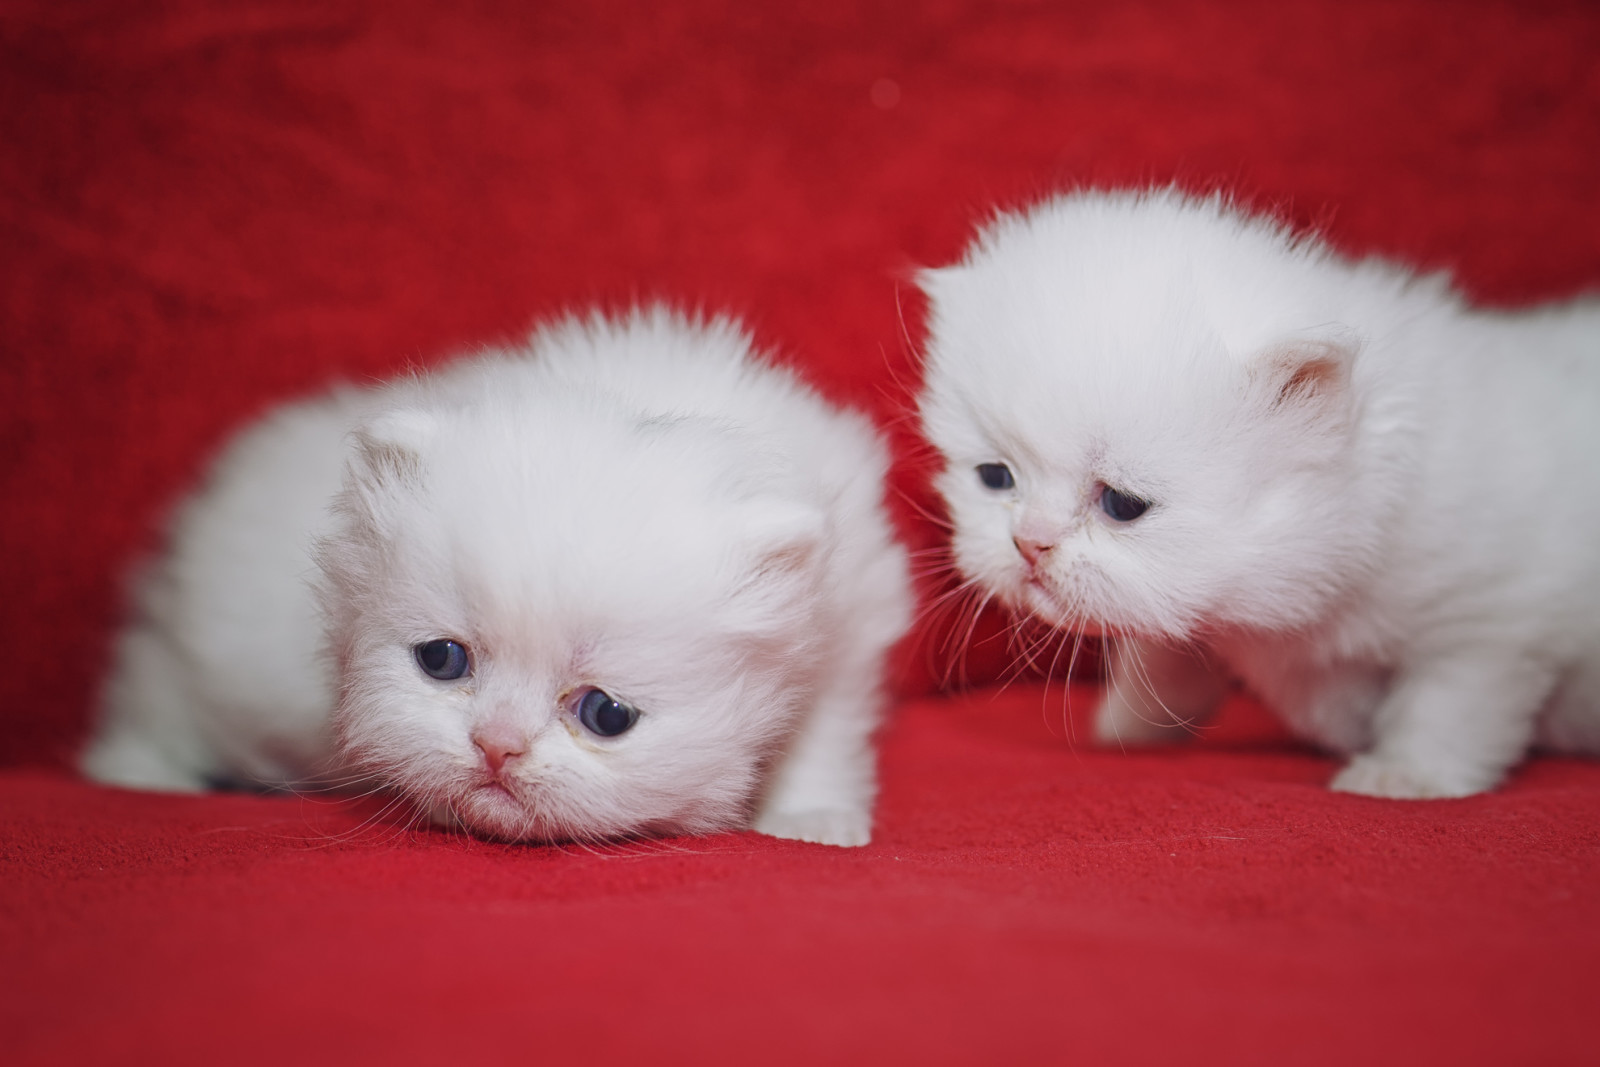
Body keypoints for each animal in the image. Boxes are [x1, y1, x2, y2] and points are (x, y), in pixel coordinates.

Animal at [84, 303, 915, 844]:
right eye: (442, 660)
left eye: (606, 713)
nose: (495, 744)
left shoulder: (851, 616)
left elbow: (825, 730)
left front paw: (811, 818)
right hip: (190, 665)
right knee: (152, 693)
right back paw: (138, 772)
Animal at [921, 187, 1600, 796]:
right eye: (994, 477)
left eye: (1122, 505)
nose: (1027, 543)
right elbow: (1165, 656)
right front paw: (1131, 724)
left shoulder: (1491, 625)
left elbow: (1446, 707)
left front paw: (1403, 777)